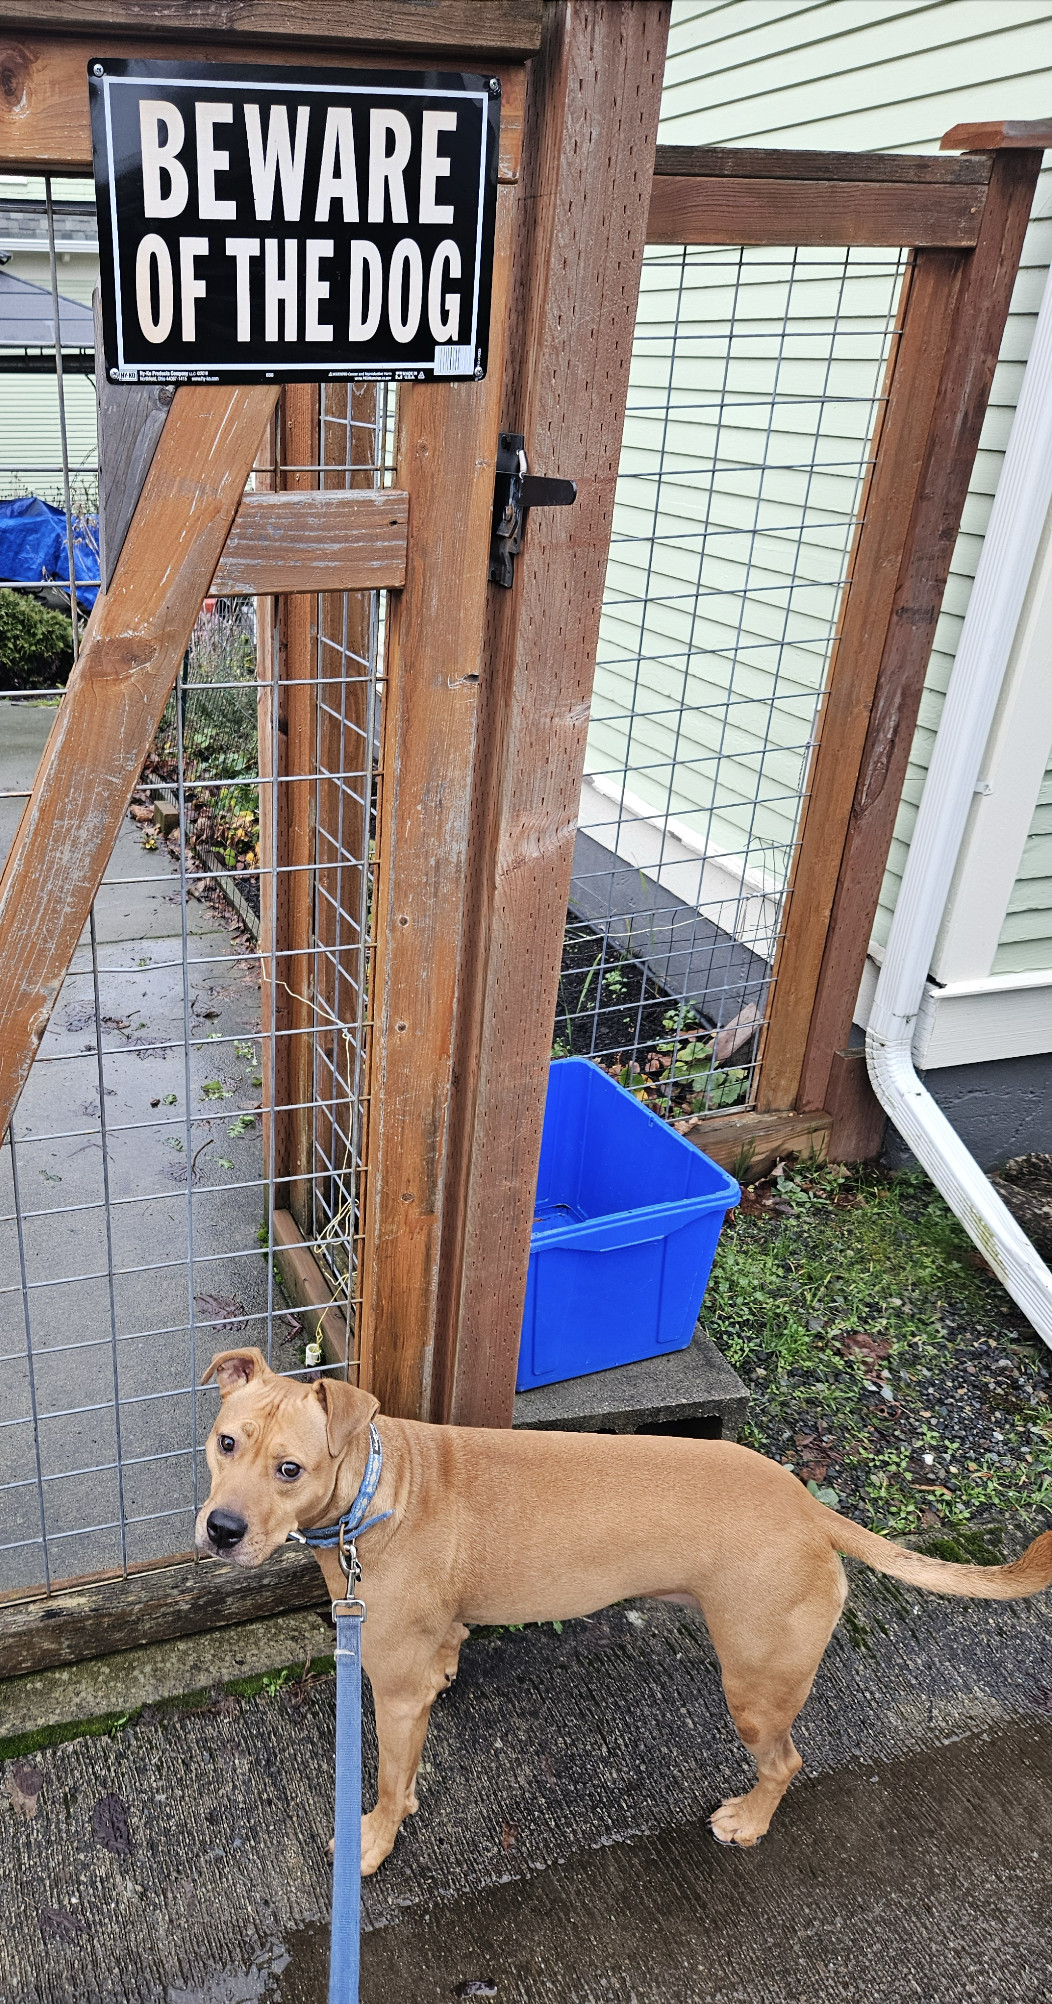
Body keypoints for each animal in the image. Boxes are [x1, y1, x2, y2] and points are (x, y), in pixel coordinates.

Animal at [196, 1346, 1049, 1875]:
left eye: (290, 1468)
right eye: (225, 1443)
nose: (221, 1529)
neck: (380, 1487)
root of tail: (808, 1507)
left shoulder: (395, 1696)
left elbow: (390, 1786)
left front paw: (371, 1840)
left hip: (757, 1686)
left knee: (785, 1762)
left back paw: (749, 1820)